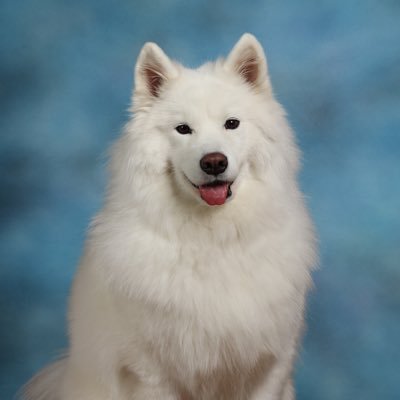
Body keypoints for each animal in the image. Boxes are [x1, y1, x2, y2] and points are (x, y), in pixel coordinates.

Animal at [23, 32, 318, 398]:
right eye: (183, 129)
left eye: (231, 124)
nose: (214, 162)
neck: (212, 239)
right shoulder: (154, 373)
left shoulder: (269, 366)